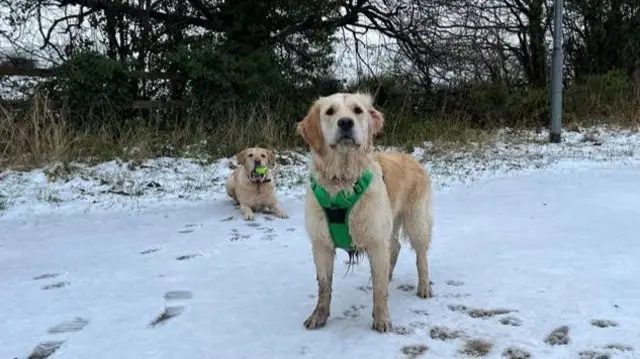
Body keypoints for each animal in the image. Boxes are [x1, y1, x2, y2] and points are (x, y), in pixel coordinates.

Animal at [296, 92, 436, 332]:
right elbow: (324, 285)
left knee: (421, 257)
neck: (342, 180)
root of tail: (413, 159)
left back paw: (424, 286)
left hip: (417, 222)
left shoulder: (376, 240)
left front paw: (381, 319)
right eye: (330, 111)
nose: (345, 123)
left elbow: (379, 289)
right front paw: (319, 316)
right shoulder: (321, 244)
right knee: (395, 248)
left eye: (357, 110)